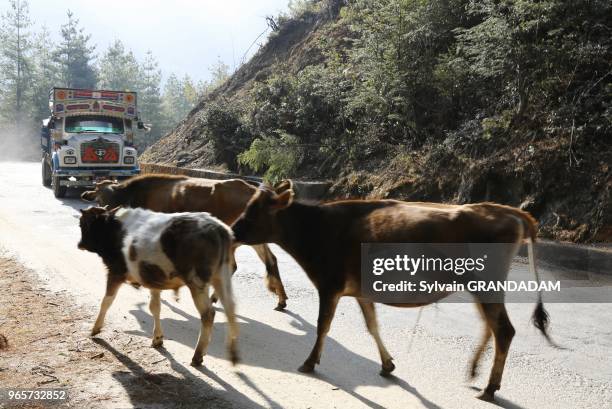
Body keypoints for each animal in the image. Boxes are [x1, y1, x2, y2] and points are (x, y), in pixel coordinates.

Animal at [77, 206, 239, 364]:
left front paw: (95, 328)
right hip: (221, 275)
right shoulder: (152, 280)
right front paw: (157, 339)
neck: (113, 228)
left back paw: (198, 355)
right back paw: (232, 352)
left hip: (197, 281)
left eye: (83, 224)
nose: (80, 245)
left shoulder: (116, 271)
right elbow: (155, 307)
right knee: (230, 308)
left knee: (208, 314)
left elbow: (106, 301)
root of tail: (218, 228)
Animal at [82, 173, 290, 310]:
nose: (108, 212)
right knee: (270, 259)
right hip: (253, 238)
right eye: (99, 196)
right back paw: (281, 299)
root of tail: (253, 188)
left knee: (235, 265)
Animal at [231, 182, 556, 402]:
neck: (315, 230)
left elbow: (323, 326)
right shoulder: (360, 291)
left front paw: (310, 362)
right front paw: (387, 364)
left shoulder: (330, 284)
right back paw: (477, 372)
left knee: (504, 330)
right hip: (480, 285)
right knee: (491, 326)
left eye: (254, 211)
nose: (233, 230)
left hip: (485, 282)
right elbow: (372, 325)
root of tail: (509, 211)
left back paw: (489, 388)